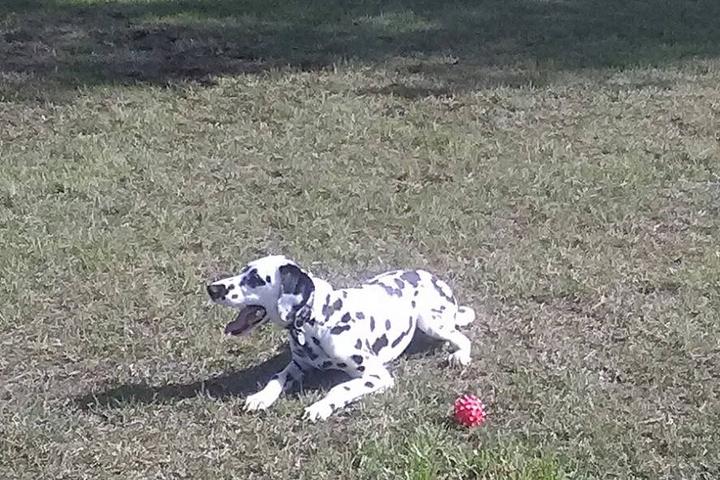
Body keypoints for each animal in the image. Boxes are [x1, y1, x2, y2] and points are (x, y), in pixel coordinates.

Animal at [204, 255, 472, 420]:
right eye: (243, 271)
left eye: (256, 279)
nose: (212, 288)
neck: (319, 319)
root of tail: (434, 278)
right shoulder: (298, 365)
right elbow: (276, 378)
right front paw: (261, 397)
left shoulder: (378, 376)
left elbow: (341, 388)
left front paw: (320, 406)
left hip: (430, 322)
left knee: (462, 338)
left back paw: (459, 355)